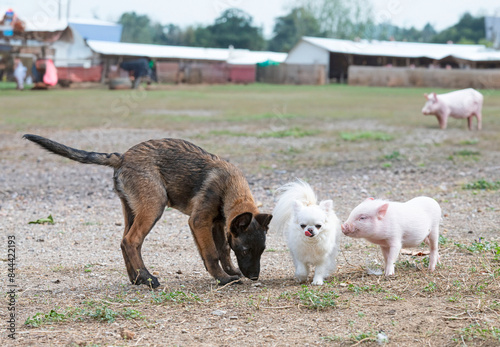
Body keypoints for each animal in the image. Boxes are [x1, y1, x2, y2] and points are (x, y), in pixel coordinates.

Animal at [23, 135, 272, 288]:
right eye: (246, 250)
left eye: (262, 250)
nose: (254, 276)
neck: (229, 186)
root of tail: (122, 157)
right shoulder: (199, 221)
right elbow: (211, 253)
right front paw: (222, 278)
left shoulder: (218, 224)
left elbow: (223, 250)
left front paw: (231, 272)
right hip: (154, 206)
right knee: (131, 240)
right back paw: (147, 278)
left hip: (133, 209)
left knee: (125, 241)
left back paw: (136, 278)